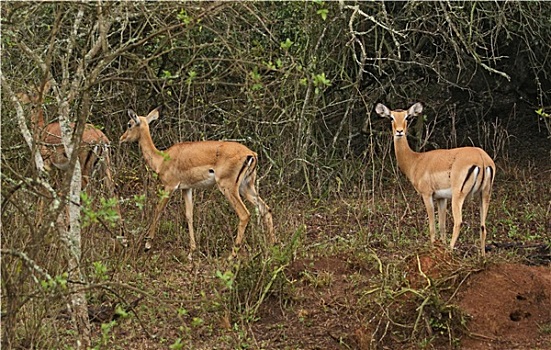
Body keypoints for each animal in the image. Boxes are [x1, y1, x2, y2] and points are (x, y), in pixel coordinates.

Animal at [121, 106, 276, 258]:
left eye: (129, 124)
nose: (122, 139)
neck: (161, 159)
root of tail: (251, 154)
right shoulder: (186, 188)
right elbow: (189, 215)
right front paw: (192, 251)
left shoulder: (169, 187)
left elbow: (158, 210)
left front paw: (147, 245)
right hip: (246, 186)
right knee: (266, 209)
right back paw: (273, 247)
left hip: (228, 187)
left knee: (244, 214)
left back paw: (232, 256)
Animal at [378, 102, 498, 256]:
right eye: (391, 117)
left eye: (407, 117)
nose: (399, 131)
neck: (416, 161)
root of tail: (482, 158)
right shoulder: (442, 198)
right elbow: (442, 225)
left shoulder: (427, 195)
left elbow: (432, 225)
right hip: (485, 194)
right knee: (483, 226)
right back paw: (482, 257)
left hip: (458, 195)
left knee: (458, 222)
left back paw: (450, 252)